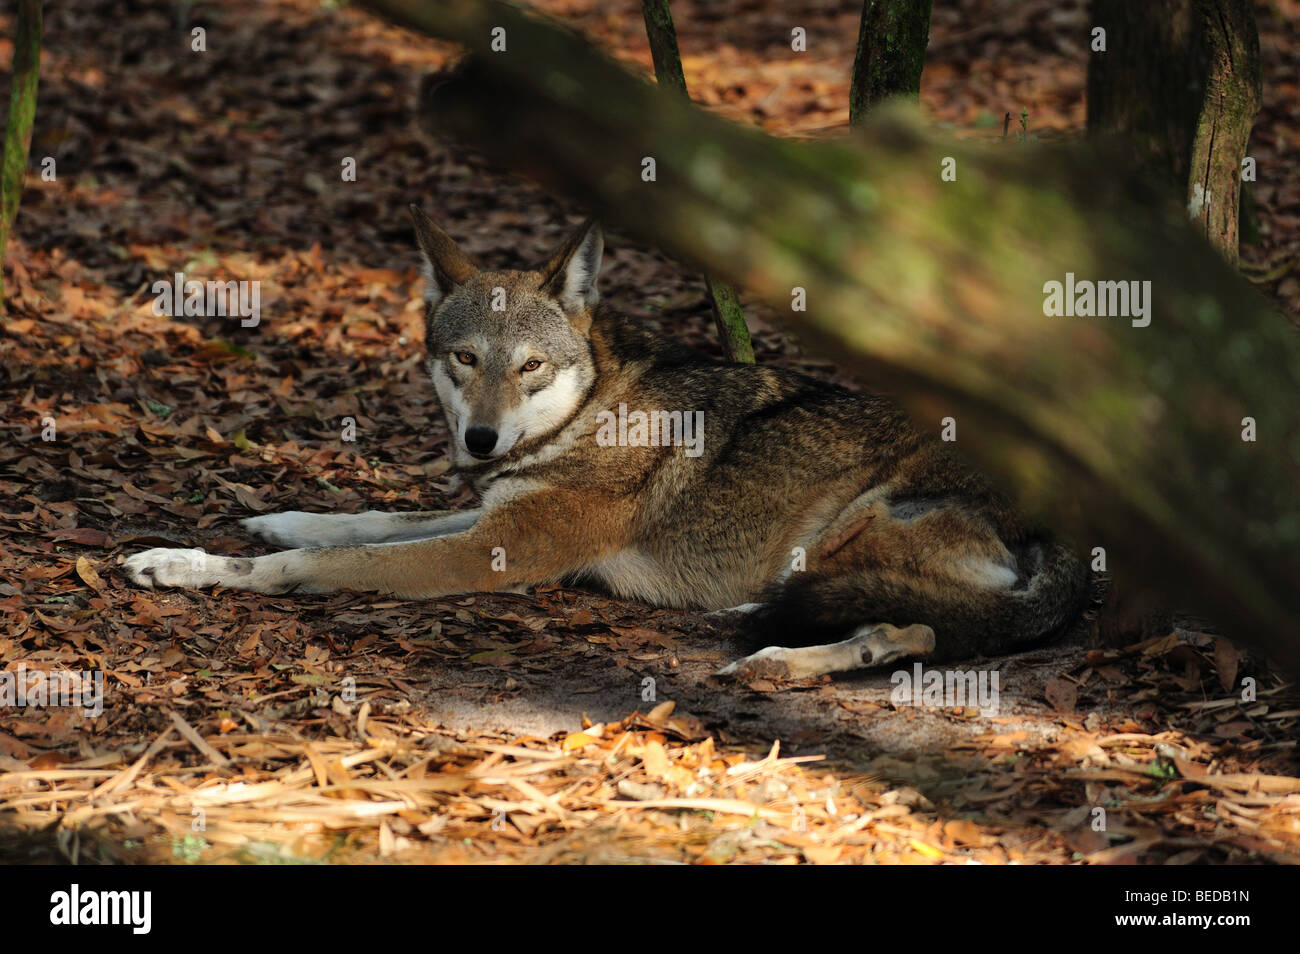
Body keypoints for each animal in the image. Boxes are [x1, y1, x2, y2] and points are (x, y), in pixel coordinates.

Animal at [121, 207, 1088, 680]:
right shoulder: (492, 512)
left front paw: (191, 567)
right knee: (914, 624)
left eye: (531, 367)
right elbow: (365, 519)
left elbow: (319, 565)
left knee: (913, 627)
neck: (589, 412)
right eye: (465, 359)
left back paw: (776, 658)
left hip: (859, 514)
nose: (480, 439)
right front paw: (271, 520)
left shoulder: (496, 550)